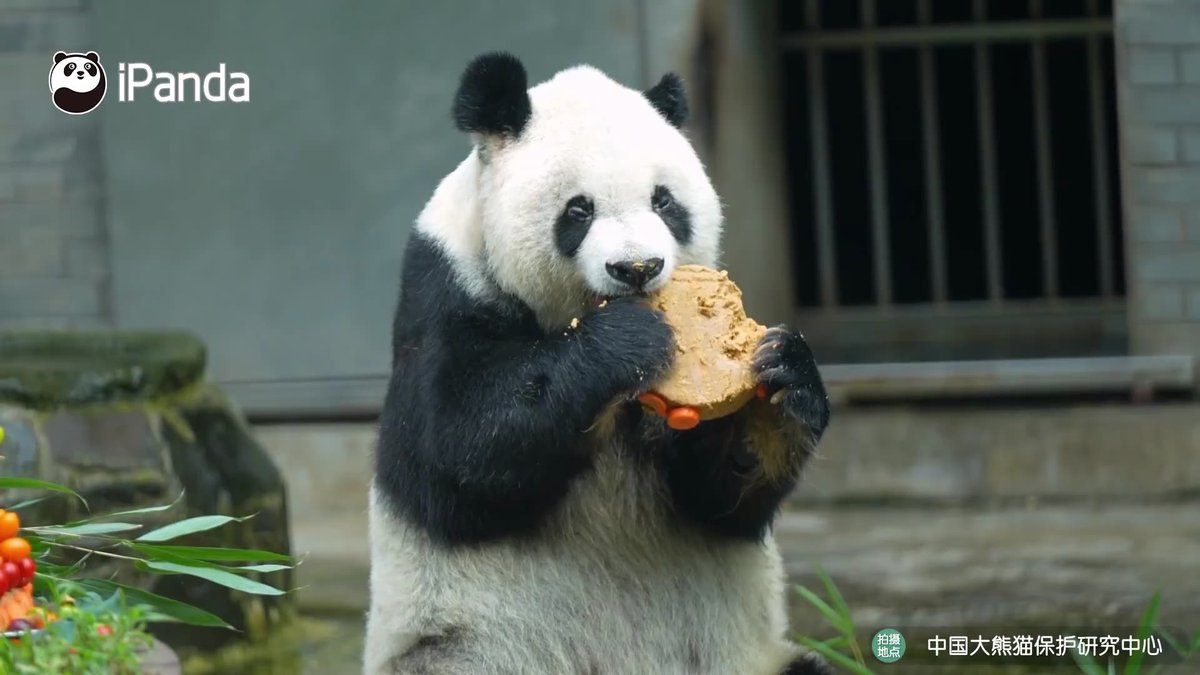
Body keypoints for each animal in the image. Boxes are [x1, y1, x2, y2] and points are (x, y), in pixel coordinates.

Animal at [365, 53, 832, 675]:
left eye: (665, 201)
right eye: (578, 210)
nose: (637, 268)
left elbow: (718, 495)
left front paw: (783, 386)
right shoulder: (443, 287)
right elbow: (459, 452)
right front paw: (625, 341)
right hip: (460, 645)